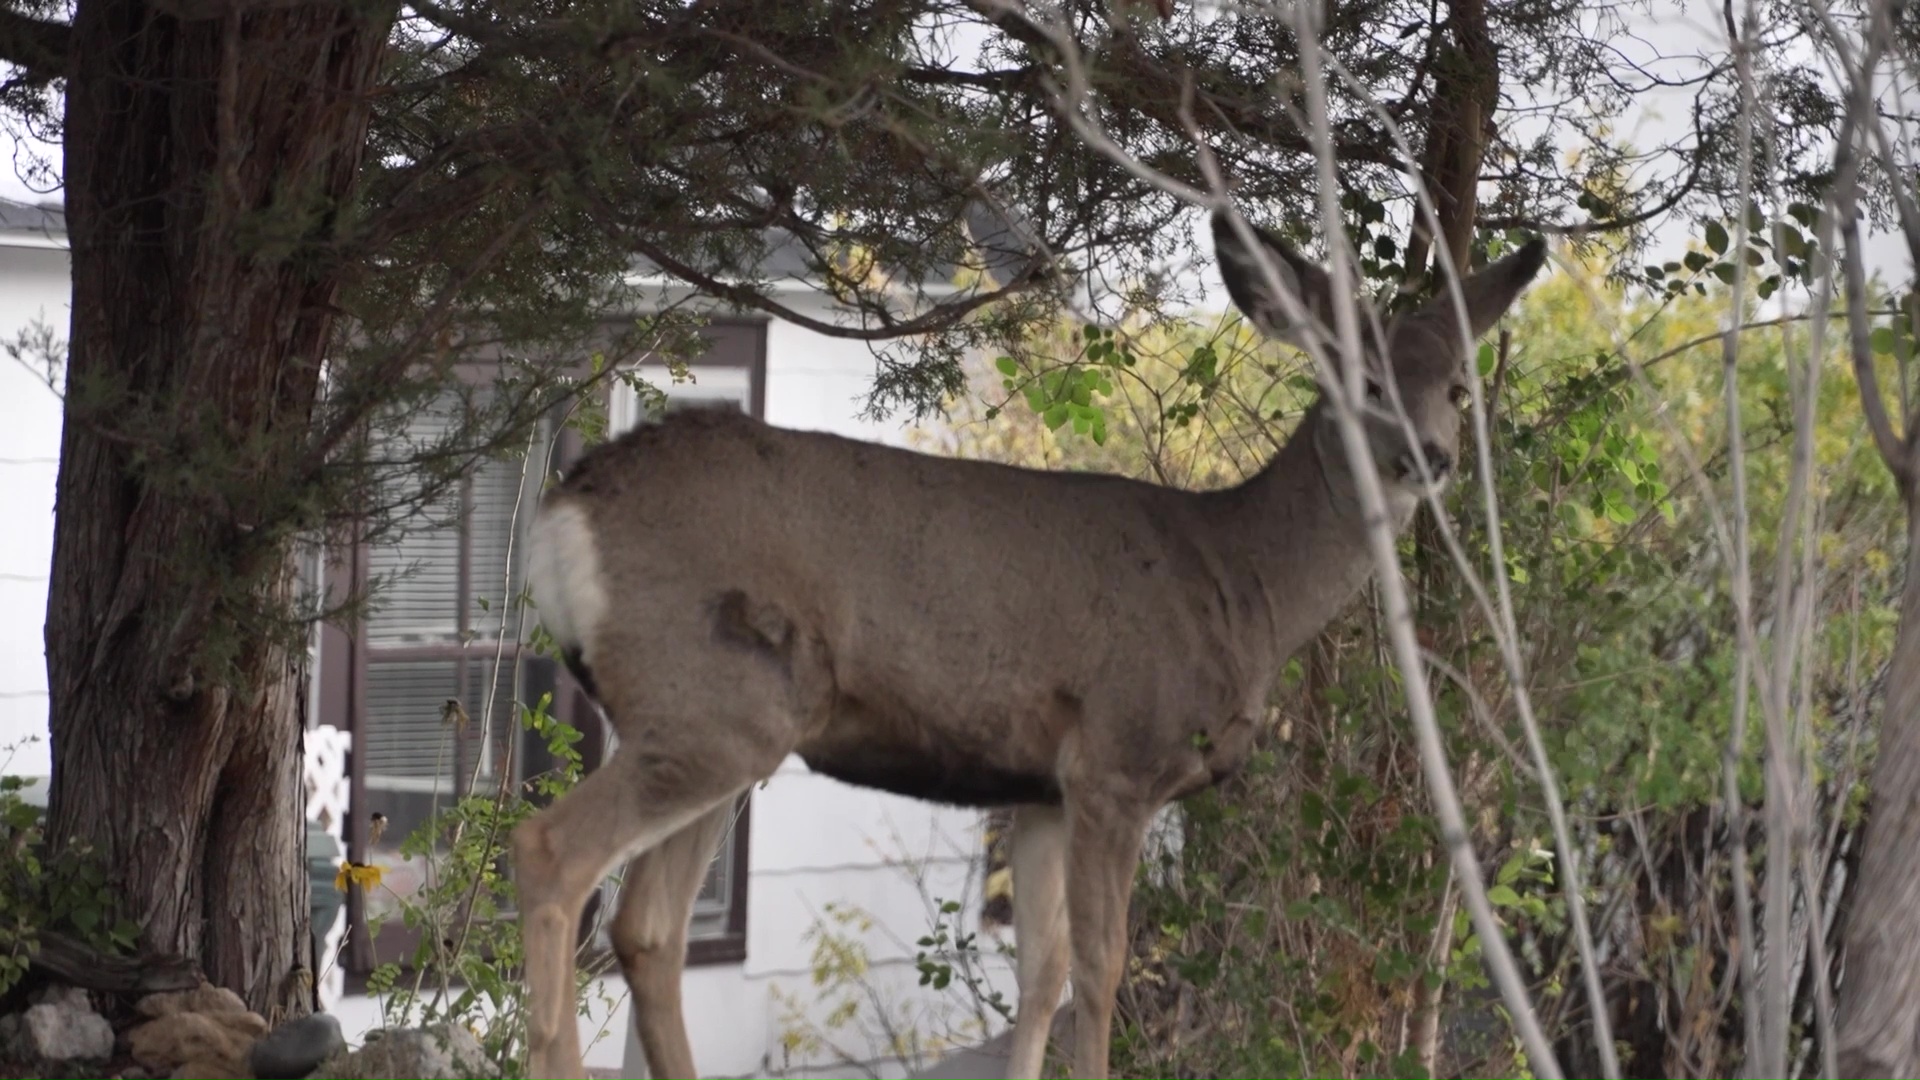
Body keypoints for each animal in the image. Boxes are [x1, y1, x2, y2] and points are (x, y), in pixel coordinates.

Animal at [513, 208, 1548, 1080]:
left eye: (1457, 387)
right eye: (1361, 382)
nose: (1429, 456)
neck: (1241, 585)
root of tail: (566, 511)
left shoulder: (1042, 789)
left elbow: (1041, 974)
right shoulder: (1118, 760)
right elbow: (1104, 967)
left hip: (725, 725)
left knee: (647, 927)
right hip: (705, 702)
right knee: (552, 854)